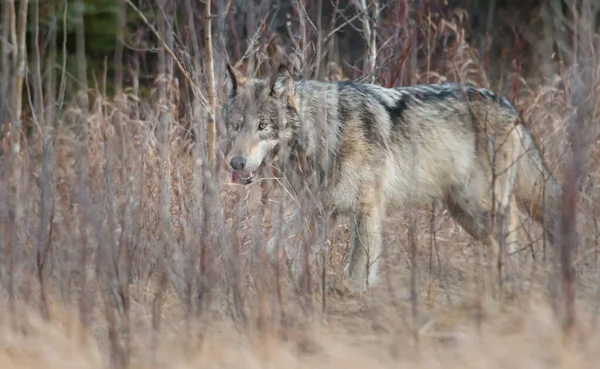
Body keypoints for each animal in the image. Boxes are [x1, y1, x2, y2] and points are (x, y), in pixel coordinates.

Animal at [220, 63, 564, 292]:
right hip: (465, 212)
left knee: (513, 222)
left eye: (263, 126)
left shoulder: (367, 209)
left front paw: (354, 299)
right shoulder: (318, 211)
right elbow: (270, 248)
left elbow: (358, 270)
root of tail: (511, 106)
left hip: (481, 203)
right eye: (236, 126)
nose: (236, 162)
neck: (326, 133)